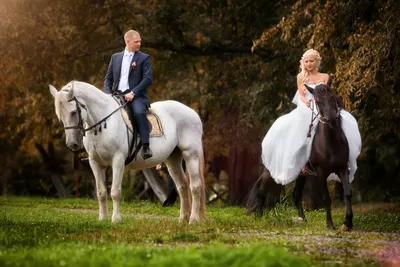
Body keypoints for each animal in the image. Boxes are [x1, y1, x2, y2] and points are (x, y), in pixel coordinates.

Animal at [49, 81, 206, 224]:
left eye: (73, 112)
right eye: (59, 115)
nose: (72, 144)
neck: (102, 124)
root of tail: (192, 112)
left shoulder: (117, 160)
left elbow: (115, 192)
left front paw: (116, 219)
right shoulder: (96, 163)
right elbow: (101, 192)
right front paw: (102, 218)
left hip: (191, 155)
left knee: (195, 186)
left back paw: (193, 220)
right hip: (173, 159)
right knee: (182, 186)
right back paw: (182, 219)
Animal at [247, 85, 354, 231]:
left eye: (333, 97)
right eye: (317, 101)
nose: (331, 119)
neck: (331, 142)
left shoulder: (342, 169)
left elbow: (348, 193)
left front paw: (347, 223)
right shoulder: (321, 173)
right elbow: (326, 198)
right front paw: (330, 224)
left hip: (301, 175)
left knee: (296, 194)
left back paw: (303, 219)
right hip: (271, 171)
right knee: (262, 189)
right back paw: (258, 215)